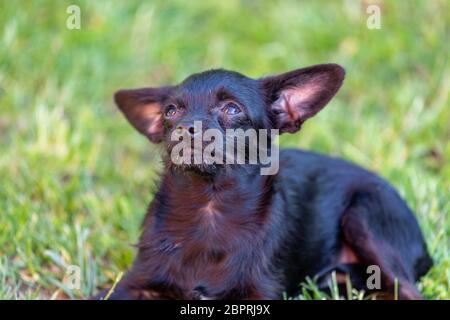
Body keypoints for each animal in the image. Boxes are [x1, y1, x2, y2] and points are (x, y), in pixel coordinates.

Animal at [100, 63, 430, 300]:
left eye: (232, 109)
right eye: (171, 111)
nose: (184, 128)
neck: (209, 207)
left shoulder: (261, 292)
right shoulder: (134, 285)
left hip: (365, 217)